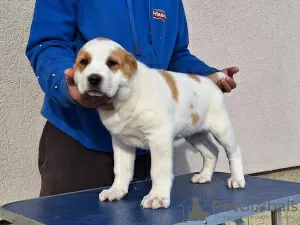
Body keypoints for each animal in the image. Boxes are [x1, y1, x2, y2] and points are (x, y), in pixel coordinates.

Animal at [74, 38, 245, 209]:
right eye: (84, 62)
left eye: (112, 63)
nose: (94, 78)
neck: (125, 98)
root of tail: (210, 80)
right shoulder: (121, 141)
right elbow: (121, 169)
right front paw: (116, 191)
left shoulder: (159, 138)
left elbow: (158, 171)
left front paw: (156, 197)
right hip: (195, 134)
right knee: (212, 152)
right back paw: (204, 176)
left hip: (222, 128)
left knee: (234, 152)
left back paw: (237, 179)